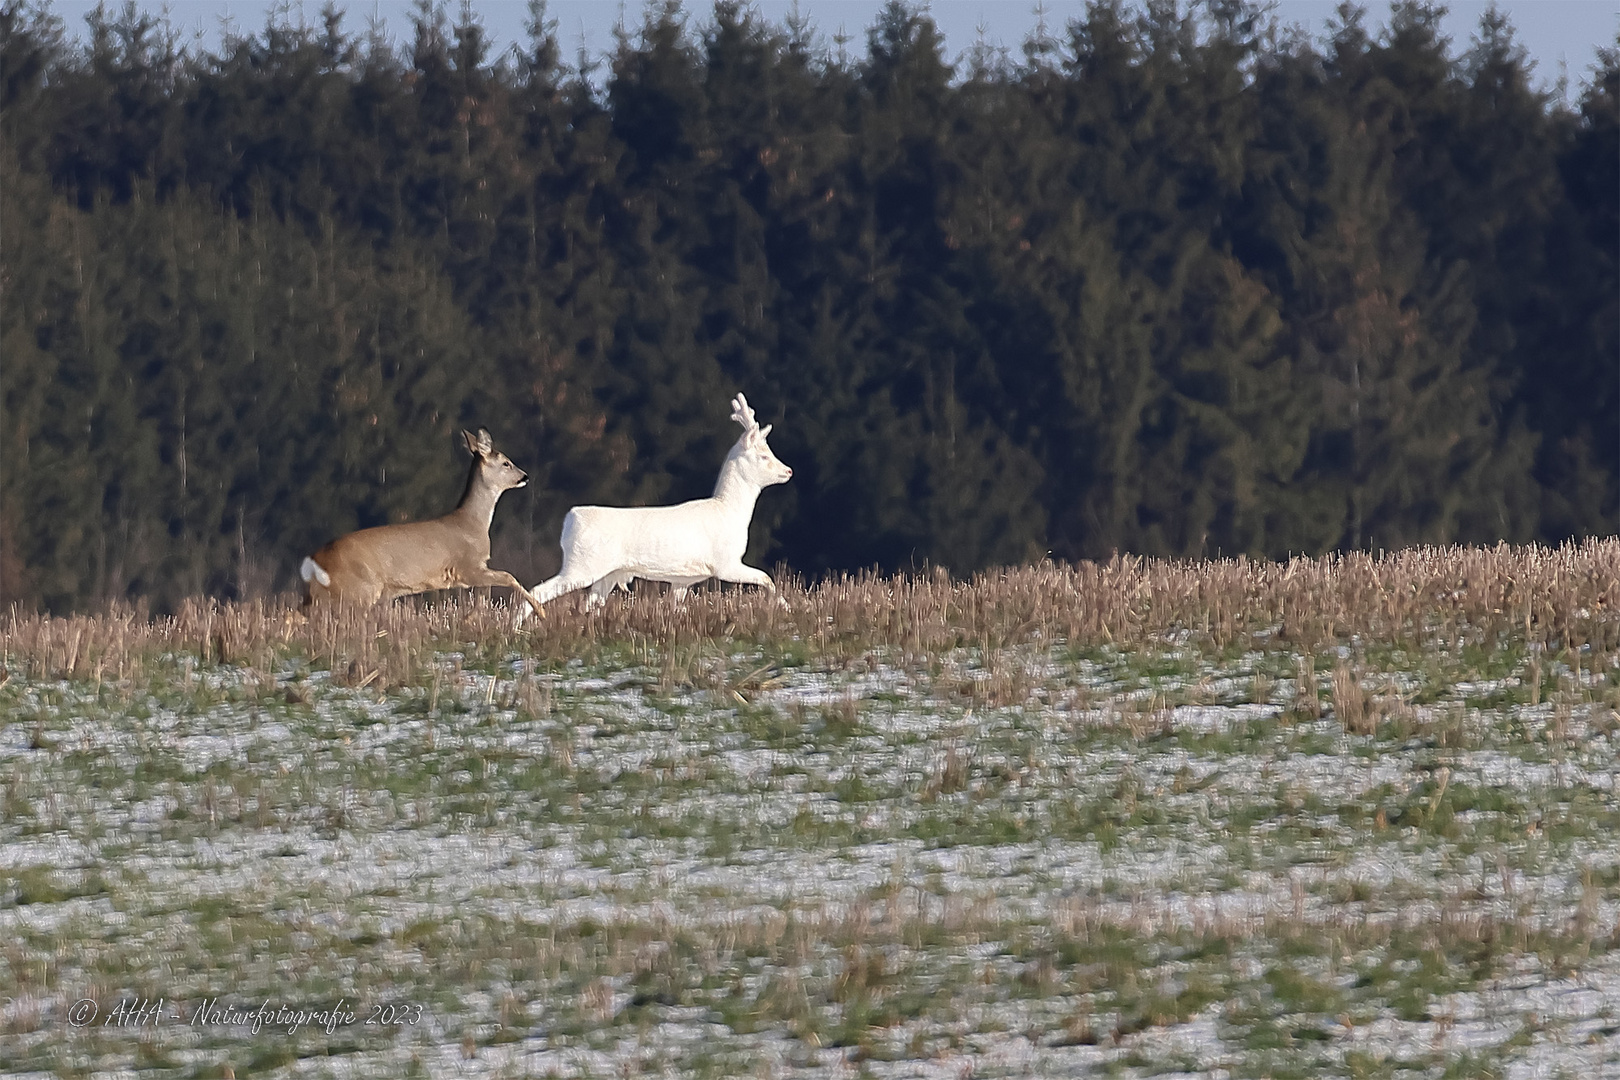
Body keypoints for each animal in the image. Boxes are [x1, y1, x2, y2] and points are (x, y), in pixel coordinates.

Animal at [294, 427, 541, 621]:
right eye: (506, 463)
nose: (525, 477)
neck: (473, 523)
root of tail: (314, 560)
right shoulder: (466, 566)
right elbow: (508, 577)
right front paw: (540, 612)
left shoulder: (469, 572)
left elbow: (485, 595)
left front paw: (469, 619)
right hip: (359, 589)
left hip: (328, 593)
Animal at [521, 395, 793, 615]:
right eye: (764, 456)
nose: (788, 470)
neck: (729, 511)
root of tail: (570, 519)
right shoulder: (725, 563)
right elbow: (767, 578)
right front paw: (785, 605)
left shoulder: (683, 579)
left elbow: (676, 607)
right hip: (582, 565)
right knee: (537, 591)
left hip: (604, 573)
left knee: (588, 606)